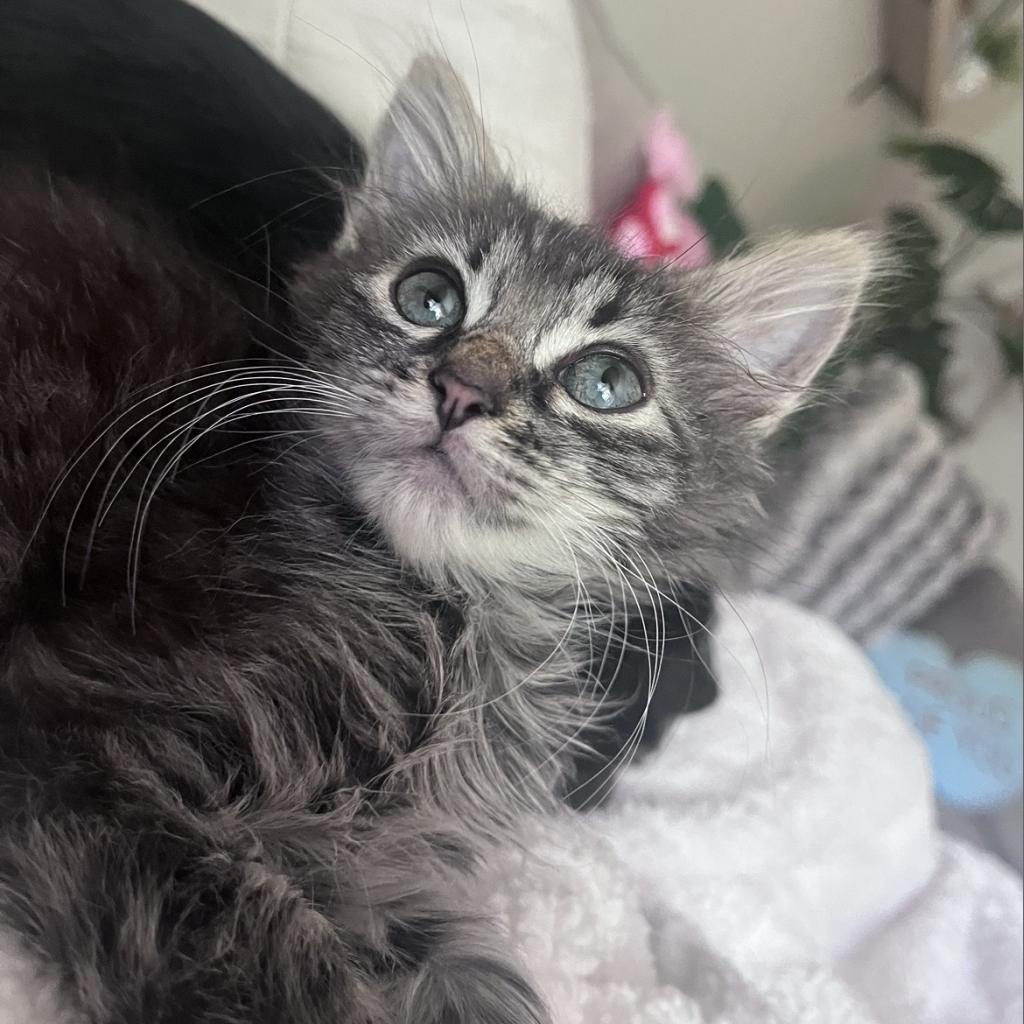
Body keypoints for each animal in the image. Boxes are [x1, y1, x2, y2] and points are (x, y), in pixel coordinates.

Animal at [2, 59, 872, 1024]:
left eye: (607, 382)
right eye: (429, 297)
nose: (462, 388)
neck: (450, 621)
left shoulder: (379, 870)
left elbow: (477, 981)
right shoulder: (88, 750)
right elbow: (286, 974)